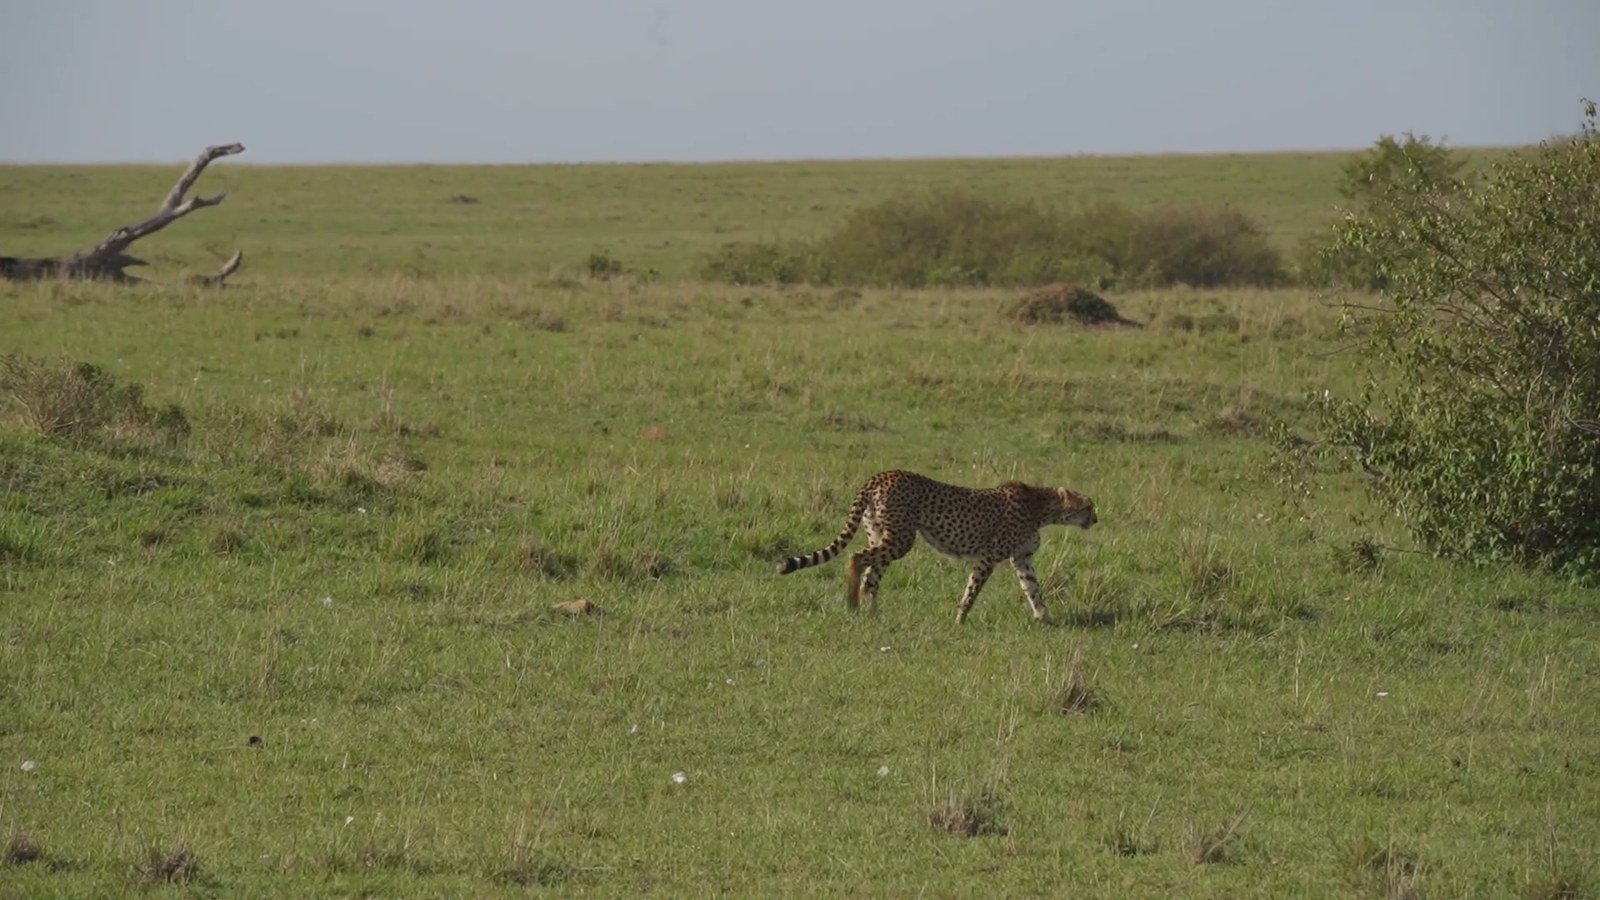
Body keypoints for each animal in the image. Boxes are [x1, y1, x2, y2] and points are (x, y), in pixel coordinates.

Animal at [777, 470, 1096, 624]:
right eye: (1089, 505)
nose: (1096, 518)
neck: (1041, 506)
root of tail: (882, 475)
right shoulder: (989, 557)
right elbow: (972, 590)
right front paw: (960, 619)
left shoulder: (1021, 558)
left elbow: (1033, 589)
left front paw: (1045, 619)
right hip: (901, 539)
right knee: (856, 559)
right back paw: (853, 605)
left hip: (884, 536)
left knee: (871, 576)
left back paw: (873, 614)